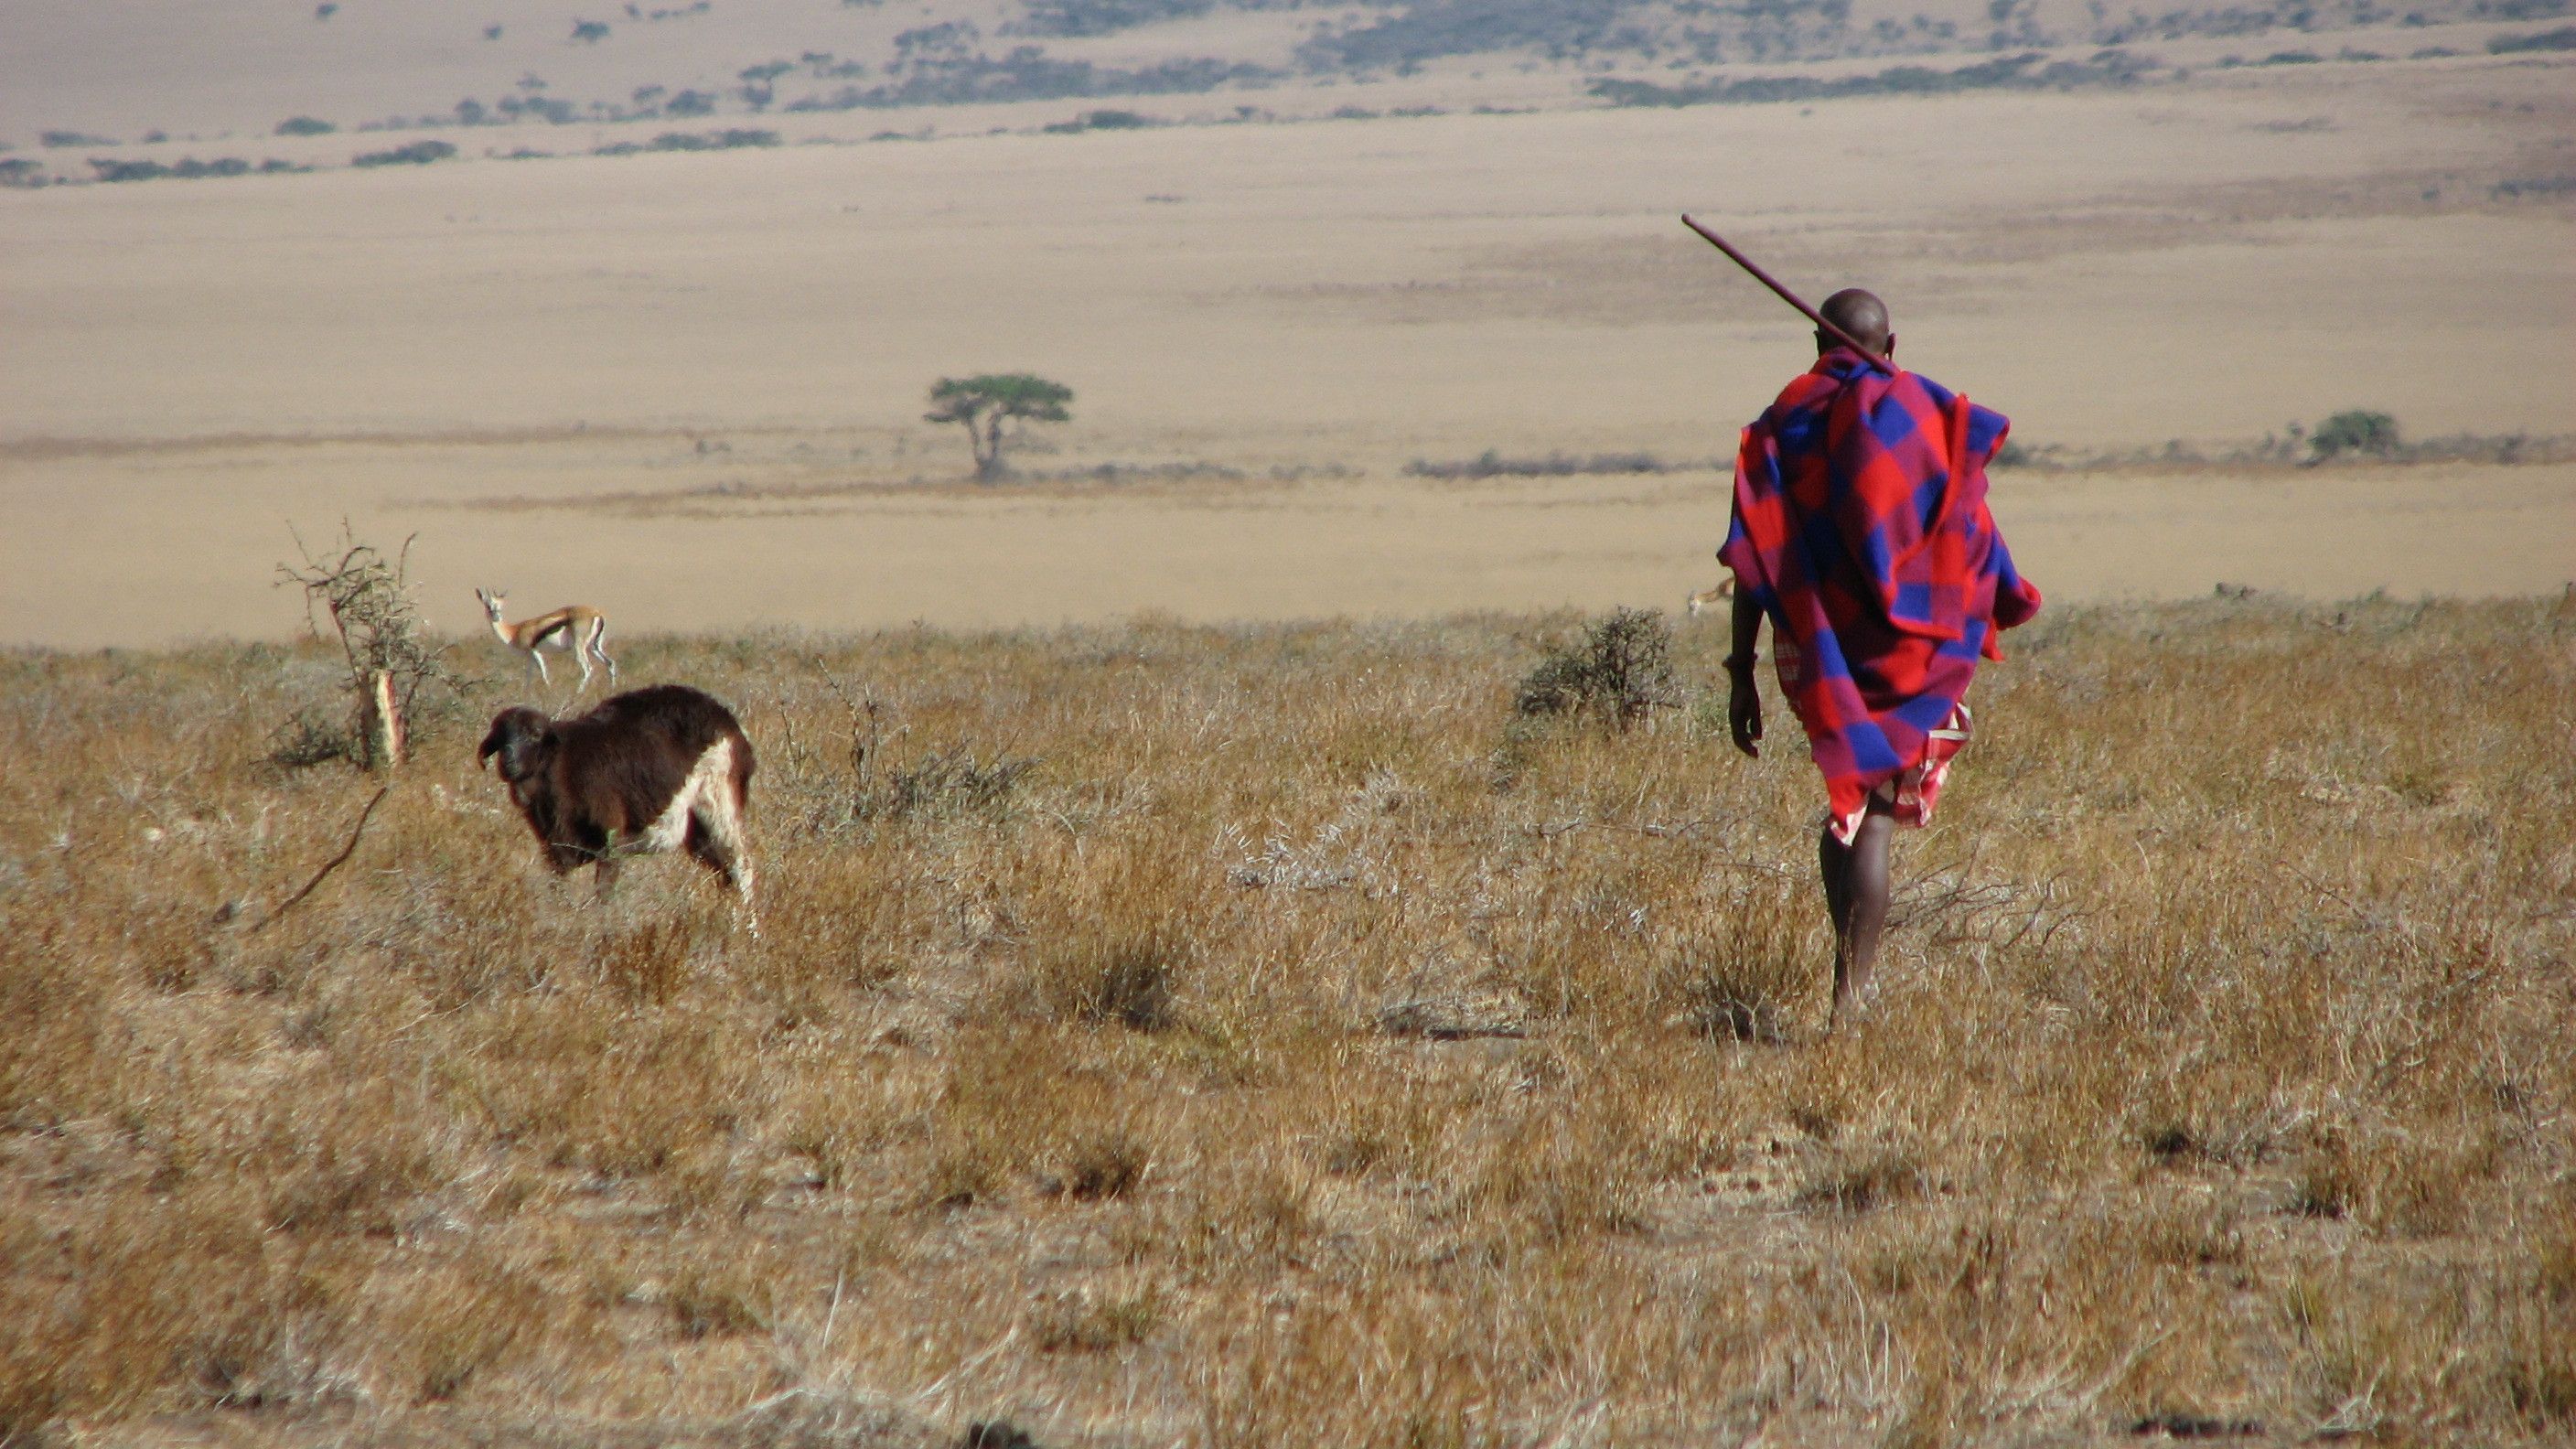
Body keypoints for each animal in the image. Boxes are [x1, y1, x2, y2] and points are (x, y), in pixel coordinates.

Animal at [478, 685, 752, 928]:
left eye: (535, 734)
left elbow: (604, 896)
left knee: (741, 869)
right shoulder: (557, 851)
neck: (560, 767)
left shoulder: (610, 846)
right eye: (500, 738)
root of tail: (729, 721)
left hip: (719, 804)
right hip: (697, 831)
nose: (508, 763)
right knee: (725, 874)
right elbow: (558, 893)